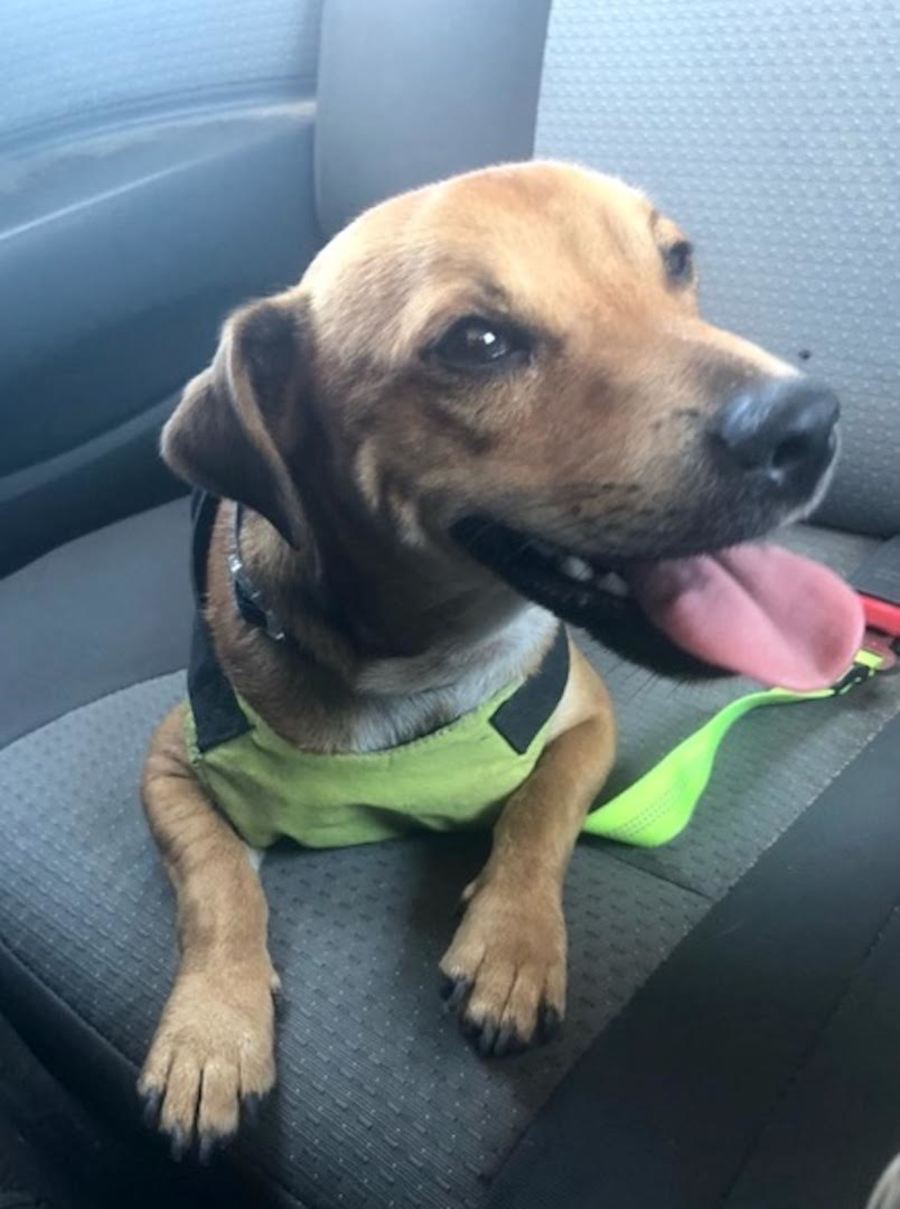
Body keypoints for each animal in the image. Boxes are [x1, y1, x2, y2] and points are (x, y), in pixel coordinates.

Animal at [138, 160, 860, 1154]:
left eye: (676, 259)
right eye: (476, 342)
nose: (808, 423)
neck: (408, 665)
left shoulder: (586, 721)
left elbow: (539, 814)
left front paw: (512, 946)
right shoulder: (168, 763)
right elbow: (217, 887)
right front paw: (211, 1030)